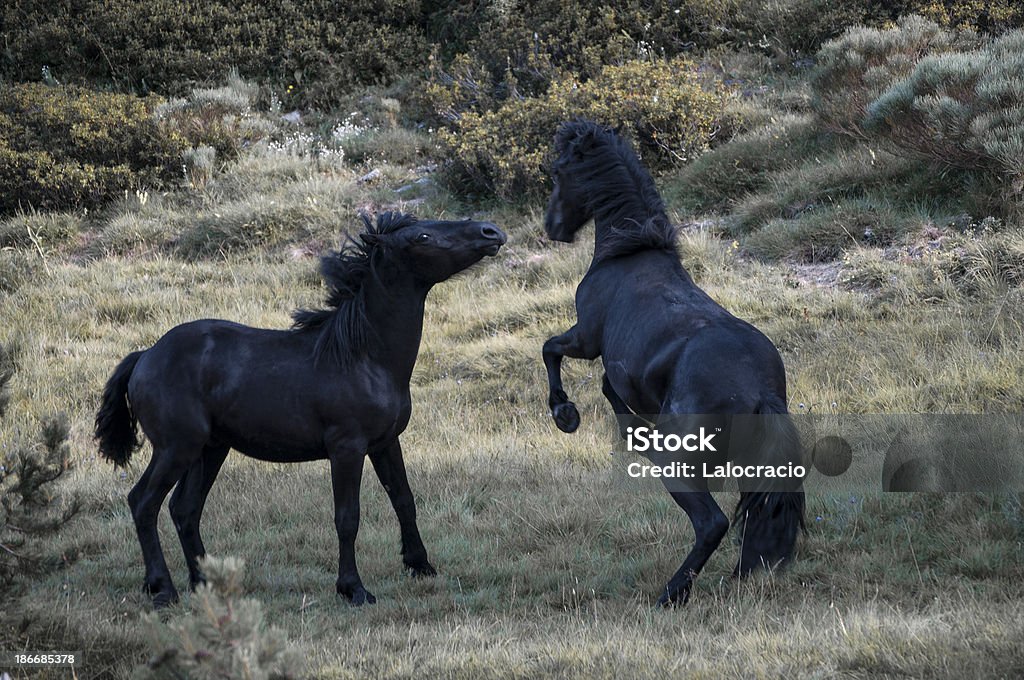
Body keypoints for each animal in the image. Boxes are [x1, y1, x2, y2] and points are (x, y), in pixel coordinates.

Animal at [97, 210, 505, 606]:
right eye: (421, 237)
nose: (492, 232)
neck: (364, 356)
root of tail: (144, 356)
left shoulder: (386, 443)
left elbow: (404, 500)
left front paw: (420, 565)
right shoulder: (347, 449)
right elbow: (347, 518)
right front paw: (353, 588)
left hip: (209, 450)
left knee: (184, 509)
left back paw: (203, 585)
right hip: (175, 448)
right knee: (143, 503)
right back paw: (163, 589)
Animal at [540, 120, 802, 606]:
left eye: (560, 171)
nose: (553, 227)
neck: (630, 251)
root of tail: (759, 391)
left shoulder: (586, 339)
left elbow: (551, 350)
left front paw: (565, 414)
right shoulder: (617, 364)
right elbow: (609, 388)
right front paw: (627, 432)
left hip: (681, 464)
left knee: (712, 522)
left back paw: (672, 593)